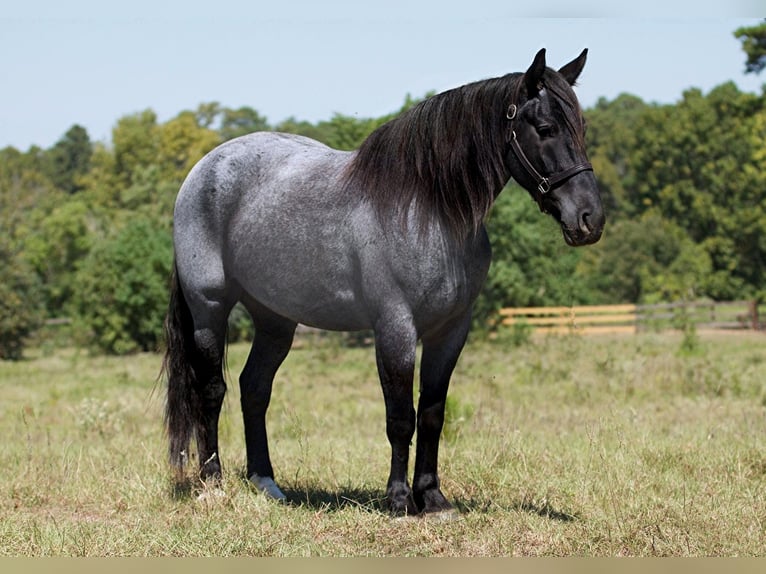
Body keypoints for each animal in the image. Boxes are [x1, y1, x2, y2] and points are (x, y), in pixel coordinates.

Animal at [162, 49, 608, 516]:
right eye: (545, 128)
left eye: (581, 129)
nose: (589, 219)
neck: (425, 210)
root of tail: (205, 168)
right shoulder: (395, 327)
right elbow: (400, 417)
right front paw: (398, 499)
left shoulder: (451, 330)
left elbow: (432, 413)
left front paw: (432, 498)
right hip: (209, 308)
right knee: (212, 390)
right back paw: (212, 483)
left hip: (275, 320)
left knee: (254, 389)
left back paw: (266, 482)